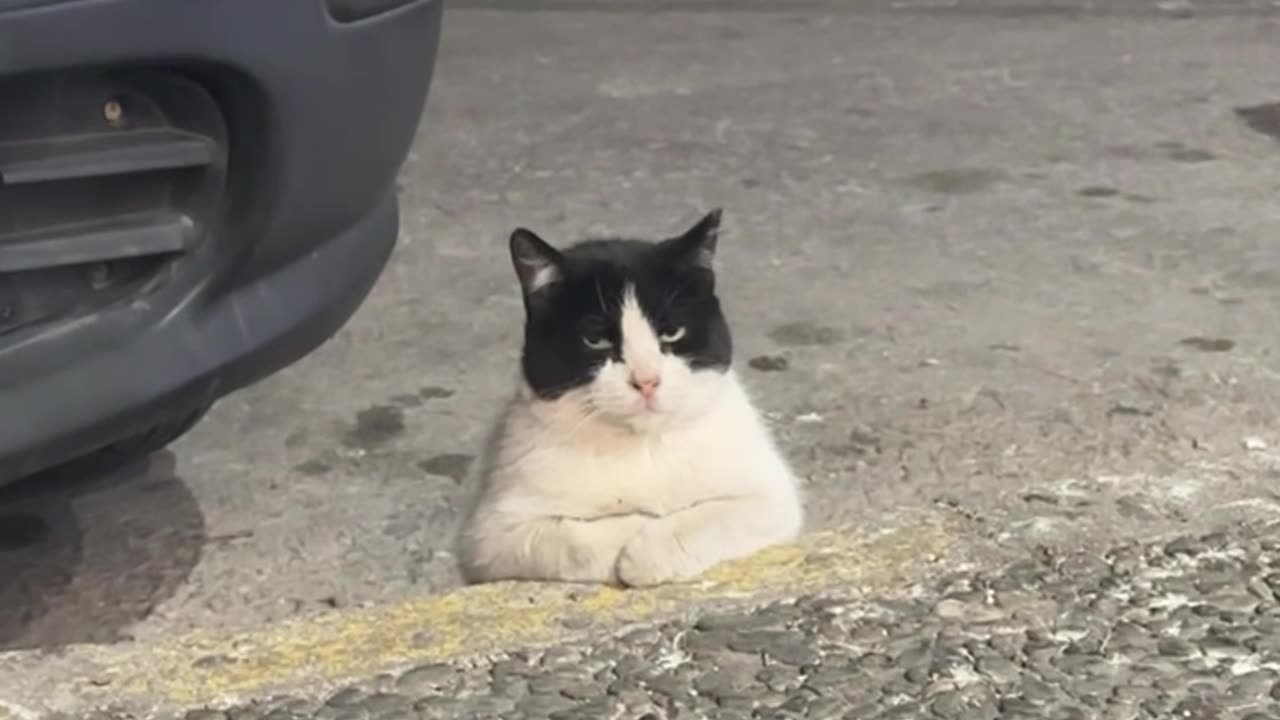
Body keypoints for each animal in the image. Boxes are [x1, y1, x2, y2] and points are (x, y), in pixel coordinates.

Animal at [458, 206, 798, 584]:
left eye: (672, 332)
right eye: (596, 339)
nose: (646, 380)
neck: (641, 447)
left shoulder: (772, 496)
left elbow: (716, 515)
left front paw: (648, 553)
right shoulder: (491, 535)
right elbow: (574, 538)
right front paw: (634, 529)